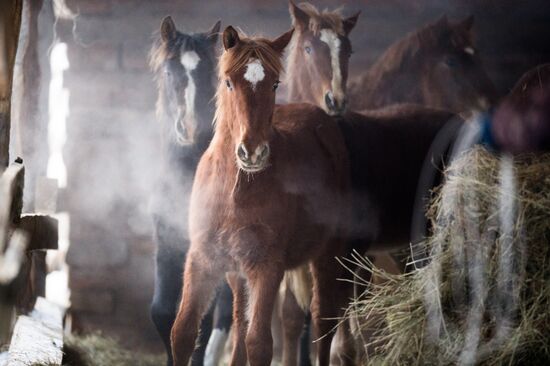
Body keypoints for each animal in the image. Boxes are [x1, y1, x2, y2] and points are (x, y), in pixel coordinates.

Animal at [170, 26, 354, 366]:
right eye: (229, 82)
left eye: (275, 83)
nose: (252, 152)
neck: (235, 191)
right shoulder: (202, 258)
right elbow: (183, 332)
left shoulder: (267, 267)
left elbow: (259, 344)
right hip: (239, 274)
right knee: (241, 323)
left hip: (327, 254)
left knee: (323, 321)